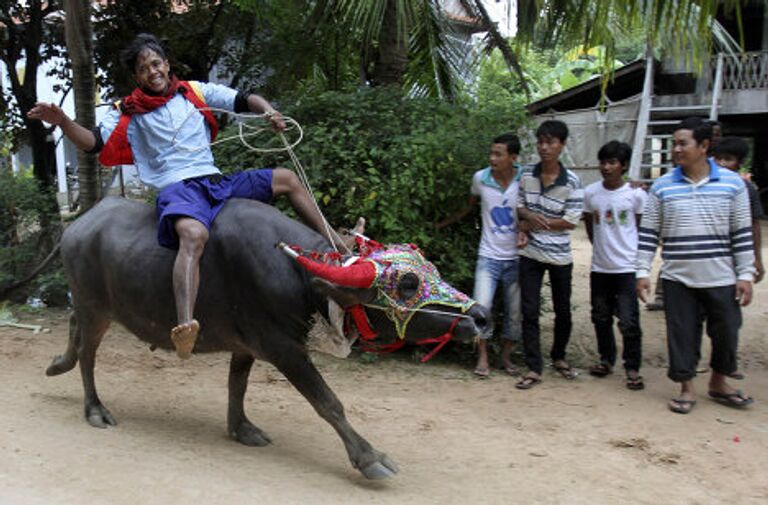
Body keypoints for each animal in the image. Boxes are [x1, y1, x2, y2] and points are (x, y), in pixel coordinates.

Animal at [48, 195, 488, 478]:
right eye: (408, 284)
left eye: (430, 269)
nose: (481, 317)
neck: (303, 280)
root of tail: (75, 227)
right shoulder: (283, 348)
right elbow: (328, 402)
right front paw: (370, 458)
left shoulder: (247, 345)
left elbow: (237, 385)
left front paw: (241, 428)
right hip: (95, 308)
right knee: (87, 354)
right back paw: (94, 409)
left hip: (91, 309)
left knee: (73, 331)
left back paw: (58, 364)